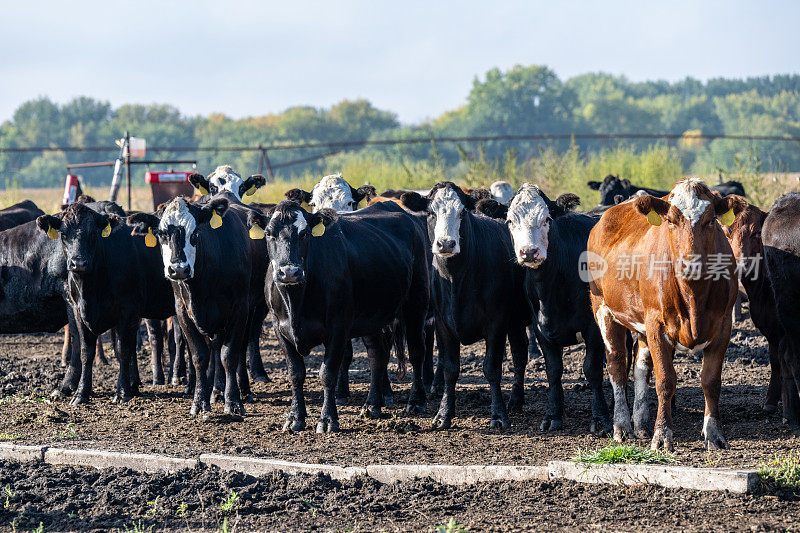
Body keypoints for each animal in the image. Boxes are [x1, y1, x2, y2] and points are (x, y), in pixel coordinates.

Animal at [36, 202, 175, 402]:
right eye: (63, 234)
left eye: (93, 233)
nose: (78, 263)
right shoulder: (78, 310)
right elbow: (86, 351)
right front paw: (81, 393)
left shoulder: (129, 309)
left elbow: (123, 349)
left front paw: (123, 392)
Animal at [247, 201, 432, 432]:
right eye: (268, 233)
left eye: (305, 233)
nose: (289, 272)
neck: (296, 301)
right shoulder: (279, 328)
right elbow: (295, 373)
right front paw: (295, 417)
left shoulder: (338, 327)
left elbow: (328, 373)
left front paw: (328, 420)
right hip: (372, 317)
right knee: (377, 355)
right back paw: (372, 406)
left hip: (416, 303)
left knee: (417, 351)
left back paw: (416, 402)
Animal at [400, 182, 532, 428]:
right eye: (431, 212)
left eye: (462, 212)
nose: (446, 243)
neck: (456, 279)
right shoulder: (443, 323)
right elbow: (451, 369)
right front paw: (443, 414)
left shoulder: (497, 323)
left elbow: (492, 368)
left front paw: (498, 415)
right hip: (516, 321)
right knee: (520, 351)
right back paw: (516, 400)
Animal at [588, 179, 744, 448]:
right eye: (671, 220)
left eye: (711, 220)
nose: (691, 263)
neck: (693, 294)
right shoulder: (657, 324)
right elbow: (665, 380)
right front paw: (662, 435)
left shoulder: (724, 325)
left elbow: (711, 380)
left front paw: (714, 434)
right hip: (603, 309)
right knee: (617, 364)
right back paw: (622, 426)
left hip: (640, 323)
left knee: (641, 366)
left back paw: (640, 424)